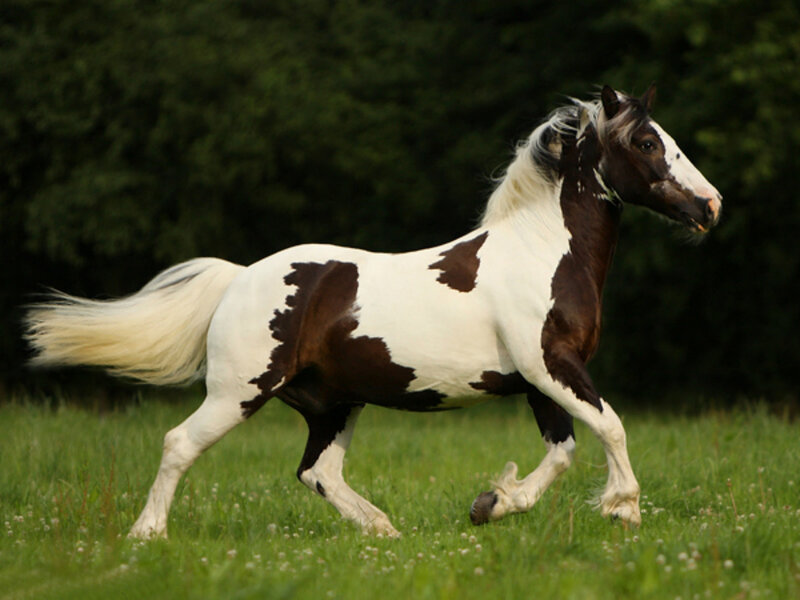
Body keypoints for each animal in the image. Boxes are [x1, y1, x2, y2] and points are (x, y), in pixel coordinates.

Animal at [25, 86, 722, 539]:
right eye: (646, 141)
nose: (710, 205)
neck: (543, 251)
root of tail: (239, 279)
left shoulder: (540, 378)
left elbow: (564, 450)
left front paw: (492, 504)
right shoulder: (550, 364)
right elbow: (611, 427)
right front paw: (623, 509)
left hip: (333, 403)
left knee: (317, 472)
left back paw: (383, 532)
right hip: (239, 391)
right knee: (179, 444)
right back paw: (147, 534)